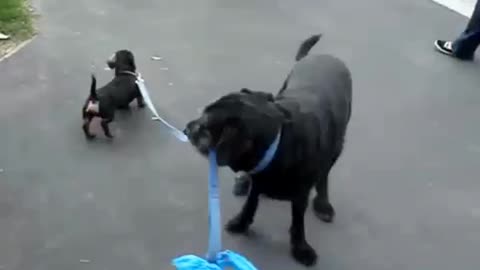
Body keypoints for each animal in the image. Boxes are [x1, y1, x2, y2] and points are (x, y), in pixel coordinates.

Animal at [184, 34, 352, 266]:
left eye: (205, 126)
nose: (186, 128)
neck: (279, 142)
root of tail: (322, 56)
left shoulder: (300, 192)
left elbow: (298, 221)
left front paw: (300, 247)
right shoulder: (259, 178)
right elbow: (251, 202)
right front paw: (241, 222)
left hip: (337, 145)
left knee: (324, 176)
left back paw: (322, 204)